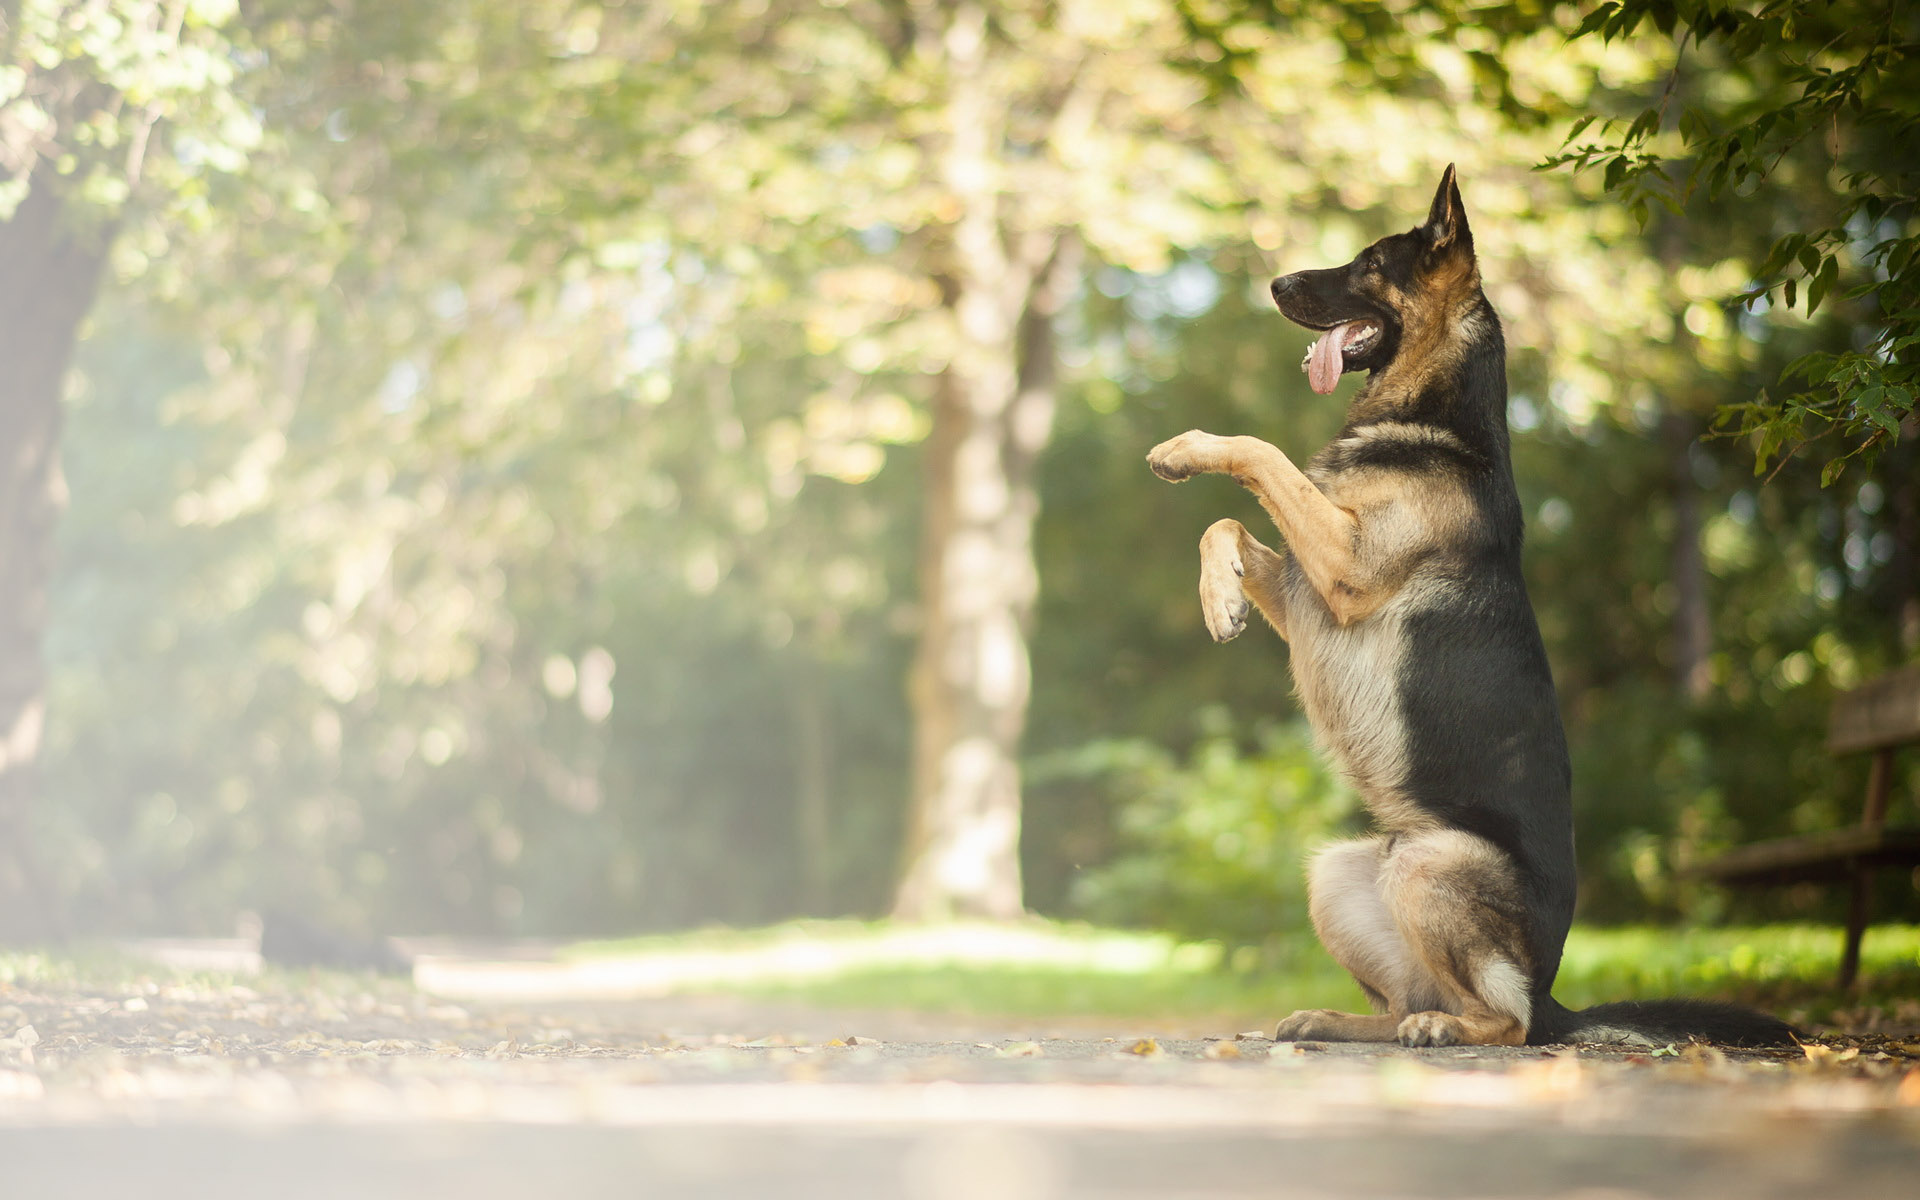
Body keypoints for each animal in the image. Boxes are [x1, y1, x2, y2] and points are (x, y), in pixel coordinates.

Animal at [1144, 168, 1789, 1044]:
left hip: (1430, 864)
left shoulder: (1343, 570)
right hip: (1342, 870)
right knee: (1407, 1002)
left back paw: (1448, 1031)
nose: (1275, 285)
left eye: (1368, 263)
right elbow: (1228, 524)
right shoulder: (1311, 585)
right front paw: (1219, 602)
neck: (1434, 417)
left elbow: (1258, 452)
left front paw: (1186, 449)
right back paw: (1343, 1021)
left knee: (1502, 1022)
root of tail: (1553, 993)